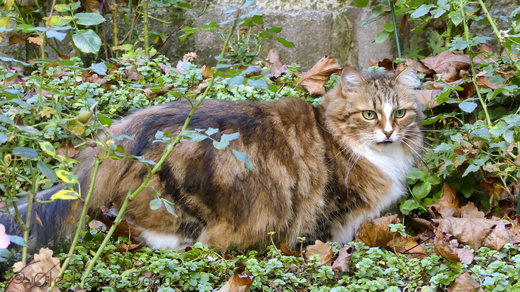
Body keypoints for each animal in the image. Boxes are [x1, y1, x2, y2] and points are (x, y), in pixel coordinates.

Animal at [2, 66, 422, 251]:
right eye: (369, 114)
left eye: (400, 113)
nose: (388, 132)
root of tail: (126, 130)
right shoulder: (334, 211)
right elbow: (329, 238)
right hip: (181, 203)